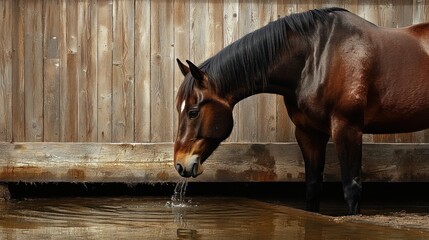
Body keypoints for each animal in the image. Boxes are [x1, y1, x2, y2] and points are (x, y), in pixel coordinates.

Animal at [173, 7, 428, 215]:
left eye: (193, 111)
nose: (180, 164)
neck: (317, 56)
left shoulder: (348, 128)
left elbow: (351, 188)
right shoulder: (309, 133)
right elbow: (313, 187)